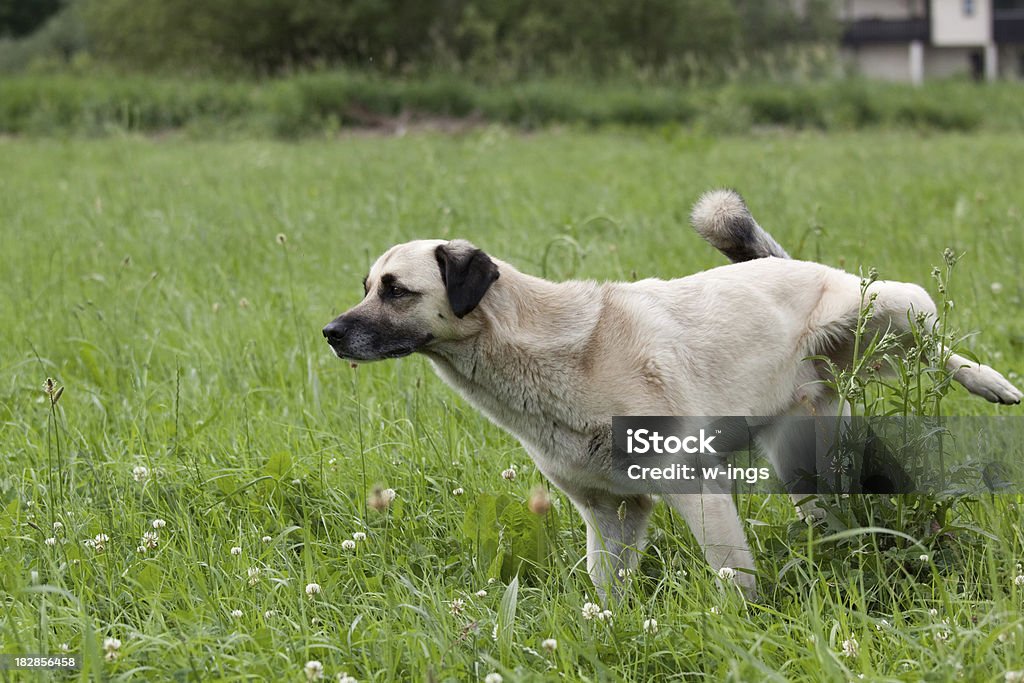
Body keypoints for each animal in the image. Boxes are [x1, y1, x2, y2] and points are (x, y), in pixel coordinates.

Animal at [323, 189, 1019, 602]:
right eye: (366, 287)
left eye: (396, 290)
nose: (329, 333)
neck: (544, 353)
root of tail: (781, 263)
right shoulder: (611, 513)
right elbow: (606, 591)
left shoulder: (696, 487)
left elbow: (733, 577)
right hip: (808, 466)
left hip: (887, 309)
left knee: (936, 342)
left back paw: (992, 383)